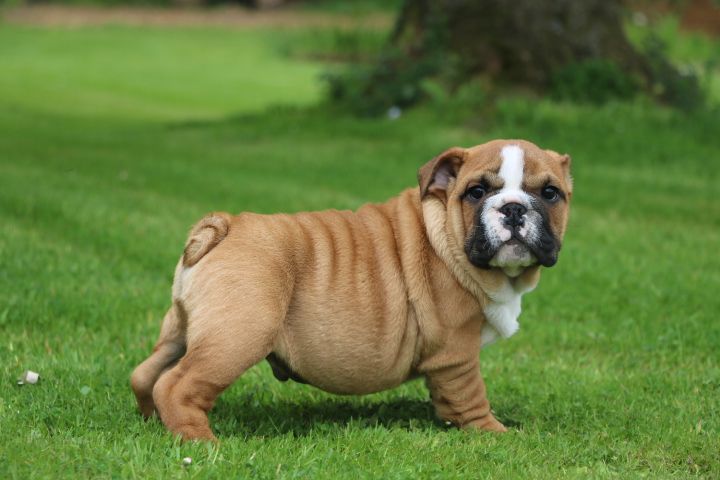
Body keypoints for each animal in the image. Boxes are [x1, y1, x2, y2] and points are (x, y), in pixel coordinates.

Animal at [131, 139, 572, 441]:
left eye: (550, 193)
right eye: (477, 192)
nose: (513, 208)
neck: (445, 232)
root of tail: (224, 226)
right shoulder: (456, 352)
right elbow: (470, 397)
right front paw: (495, 432)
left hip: (184, 329)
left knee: (147, 373)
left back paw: (152, 421)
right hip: (238, 334)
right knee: (177, 384)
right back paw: (200, 441)